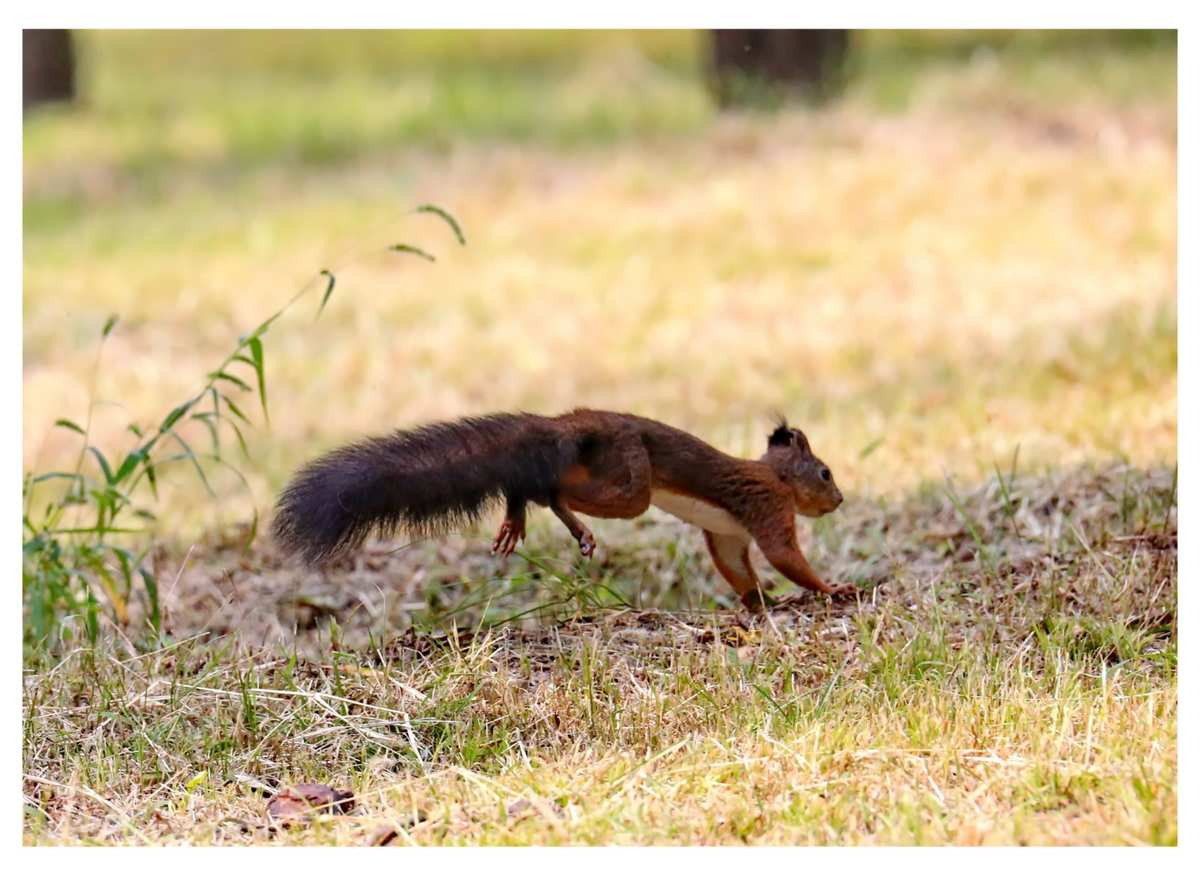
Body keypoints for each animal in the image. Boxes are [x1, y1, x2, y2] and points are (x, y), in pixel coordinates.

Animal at [272, 410, 854, 607]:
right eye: (825, 473)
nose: (840, 500)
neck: (774, 475)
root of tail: (571, 424)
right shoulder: (769, 507)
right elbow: (784, 555)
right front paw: (832, 589)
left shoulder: (729, 533)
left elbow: (737, 567)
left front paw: (759, 601)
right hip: (631, 483)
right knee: (550, 486)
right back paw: (544, 511)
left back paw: (533, 520)